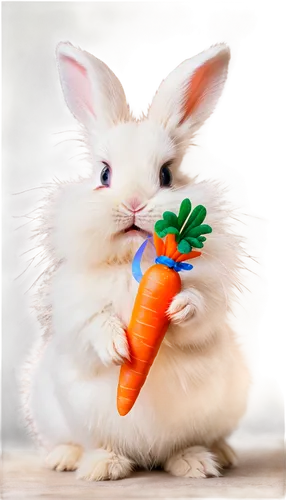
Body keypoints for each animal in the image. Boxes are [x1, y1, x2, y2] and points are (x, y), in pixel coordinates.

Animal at [21, 42, 268, 480]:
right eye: (104, 174)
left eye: (167, 175)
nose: (134, 203)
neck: (138, 262)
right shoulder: (75, 307)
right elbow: (92, 323)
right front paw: (118, 347)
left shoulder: (210, 298)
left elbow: (199, 312)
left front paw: (179, 307)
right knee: (86, 442)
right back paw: (91, 464)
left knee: (189, 444)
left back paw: (203, 461)